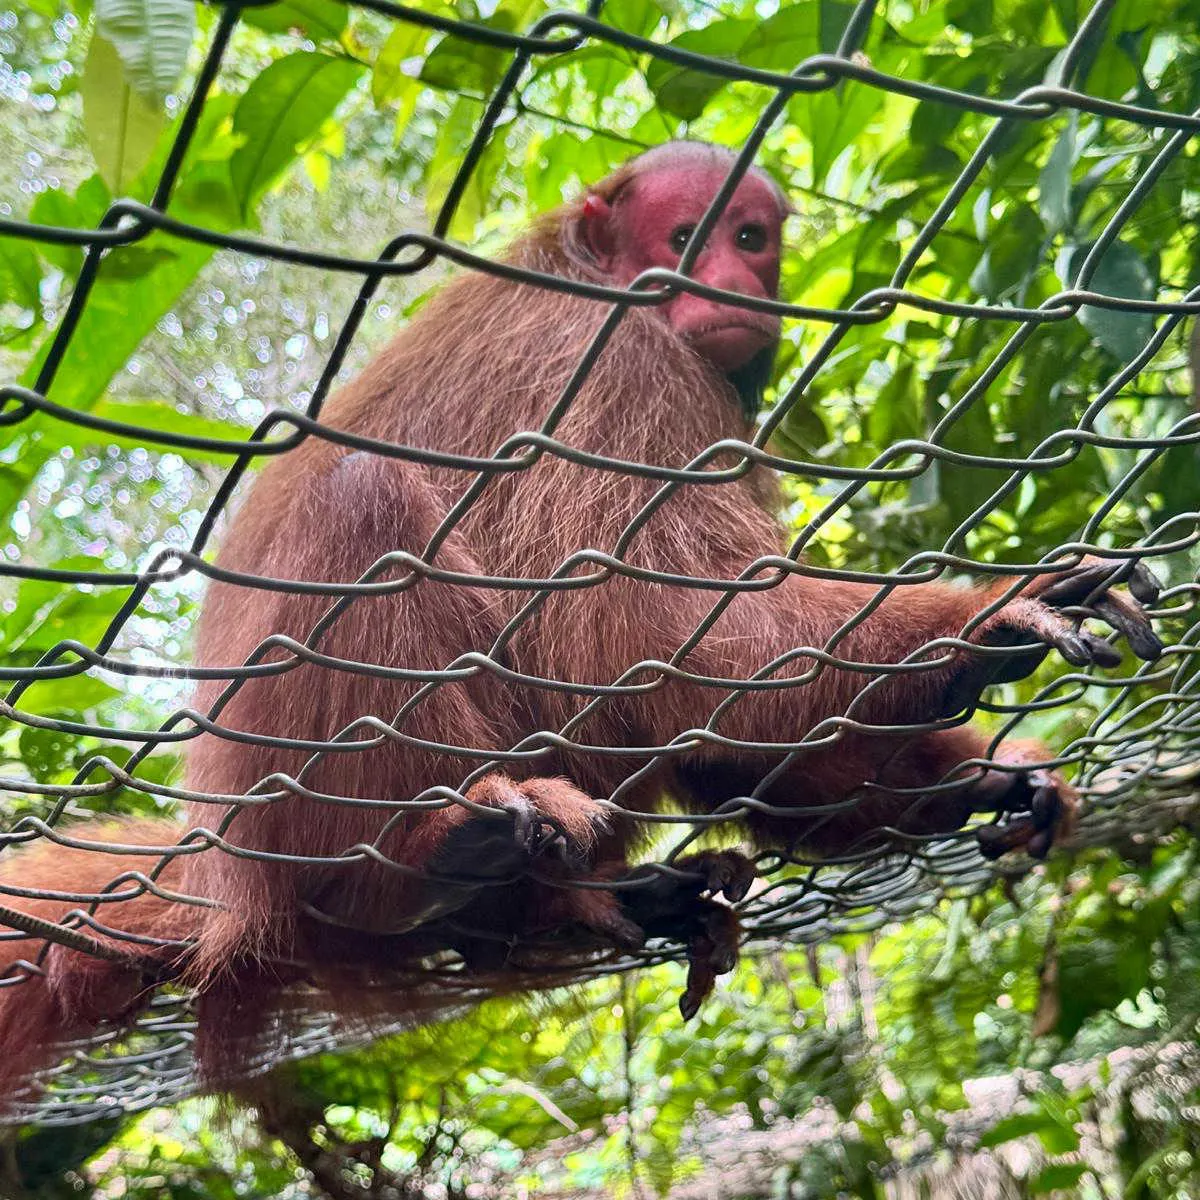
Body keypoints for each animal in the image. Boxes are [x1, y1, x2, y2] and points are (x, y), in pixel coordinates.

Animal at [0, 141, 1161, 1103]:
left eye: (752, 240)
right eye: (687, 240)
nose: (730, 282)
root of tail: (223, 867)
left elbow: (723, 731)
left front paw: (987, 775)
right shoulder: (608, 360)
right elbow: (646, 630)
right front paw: (980, 624)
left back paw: (585, 902)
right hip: (291, 813)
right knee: (364, 506)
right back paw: (422, 862)